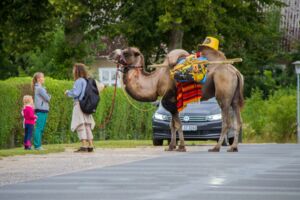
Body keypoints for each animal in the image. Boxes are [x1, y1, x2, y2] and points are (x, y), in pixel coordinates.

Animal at [110, 46, 244, 152]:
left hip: (223, 93)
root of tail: (236, 72)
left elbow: (178, 124)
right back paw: (233, 148)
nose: (112, 54)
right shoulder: (174, 103)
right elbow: (172, 124)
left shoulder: (170, 98)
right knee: (238, 120)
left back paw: (216, 148)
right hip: (235, 97)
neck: (156, 80)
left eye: (126, 52)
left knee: (226, 121)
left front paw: (181, 147)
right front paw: (171, 146)